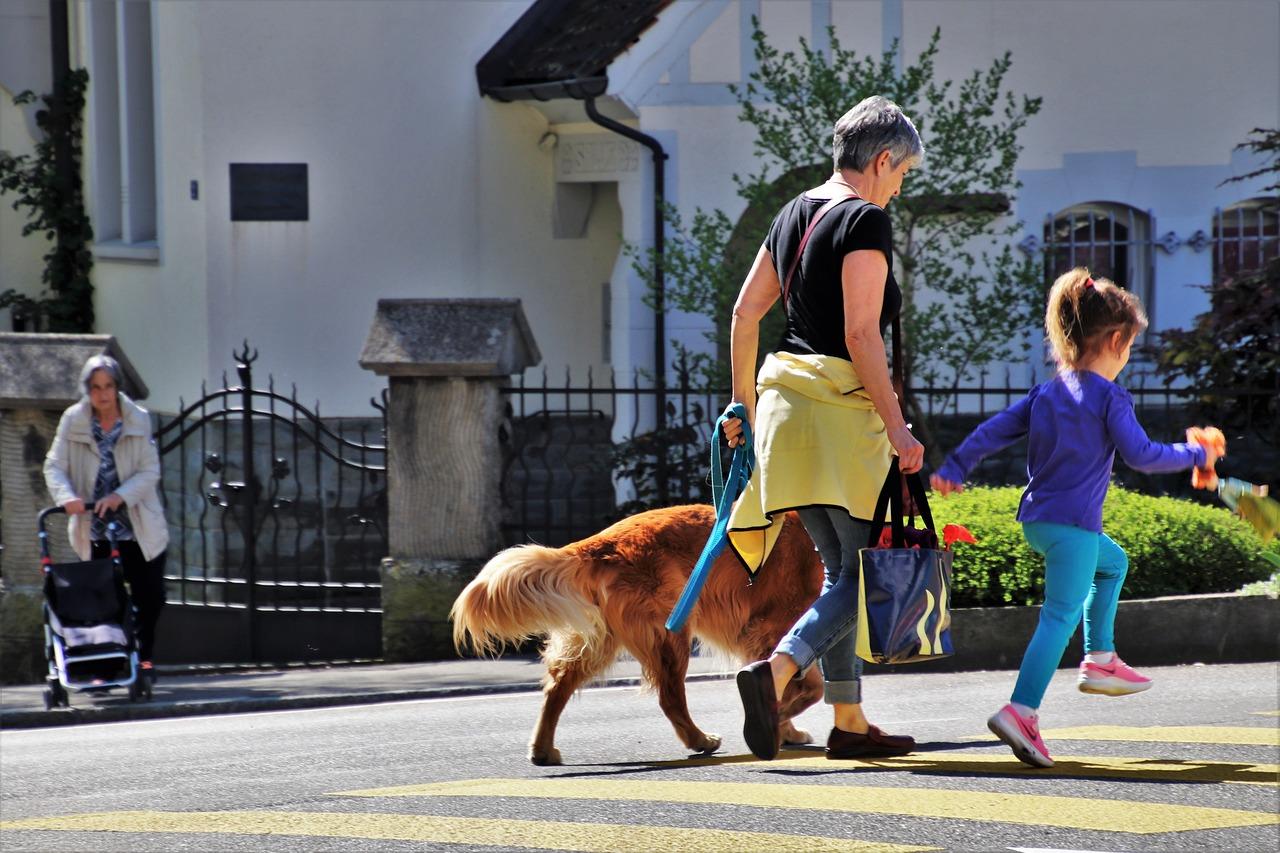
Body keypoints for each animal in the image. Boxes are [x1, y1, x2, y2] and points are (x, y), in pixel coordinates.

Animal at [455, 502, 824, 758]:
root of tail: (601, 543)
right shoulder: (774, 627)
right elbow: (806, 687)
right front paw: (778, 722)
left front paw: (784, 729)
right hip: (670, 633)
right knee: (670, 697)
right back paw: (699, 739)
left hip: (601, 640)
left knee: (557, 687)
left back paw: (543, 749)